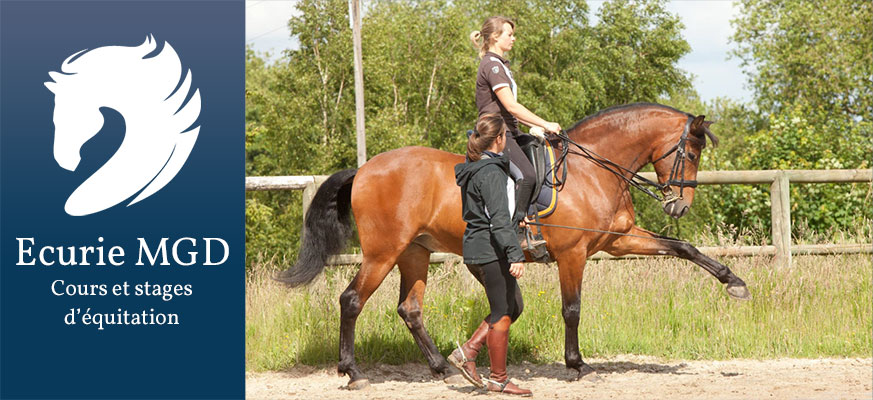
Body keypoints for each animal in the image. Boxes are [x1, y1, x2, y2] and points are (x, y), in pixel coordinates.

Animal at [278, 102, 748, 388]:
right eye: (691, 153)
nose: (679, 205)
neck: (593, 169)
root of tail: (364, 169)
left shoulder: (618, 241)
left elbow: (684, 248)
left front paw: (734, 282)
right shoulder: (574, 254)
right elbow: (572, 309)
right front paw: (578, 365)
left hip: (415, 252)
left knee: (410, 310)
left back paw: (443, 369)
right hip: (383, 253)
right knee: (351, 300)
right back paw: (353, 371)